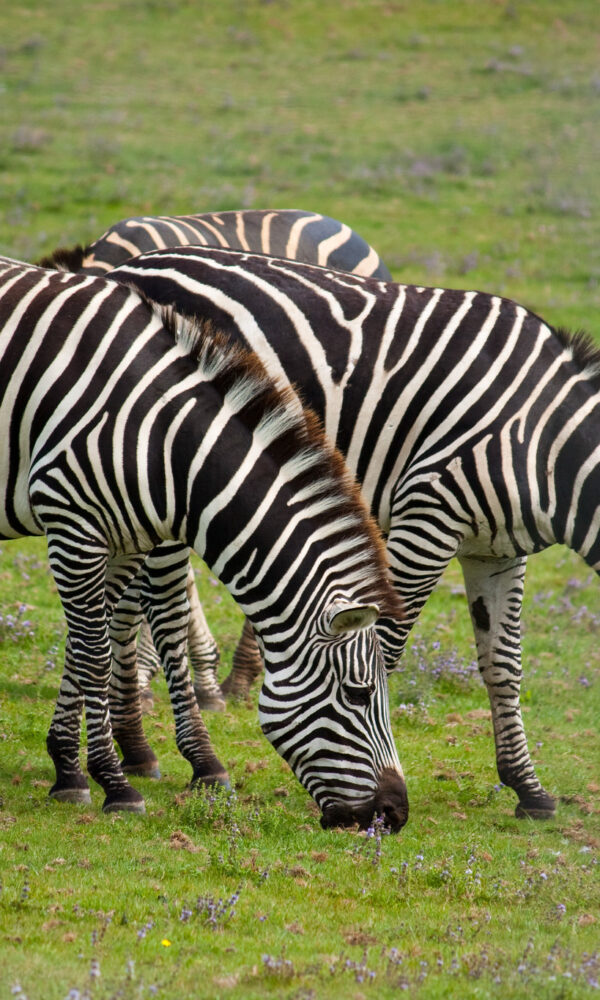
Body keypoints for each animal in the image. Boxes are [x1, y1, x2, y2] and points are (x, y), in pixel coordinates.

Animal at [106, 244, 600, 821]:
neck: (547, 441)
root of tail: (131, 265)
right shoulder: (428, 513)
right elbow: (383, 651)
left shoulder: (497, 551)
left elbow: (502, 664)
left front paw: (528, 787)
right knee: (161, 609)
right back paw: (200, 760)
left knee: (123, 607)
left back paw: (135, 748)